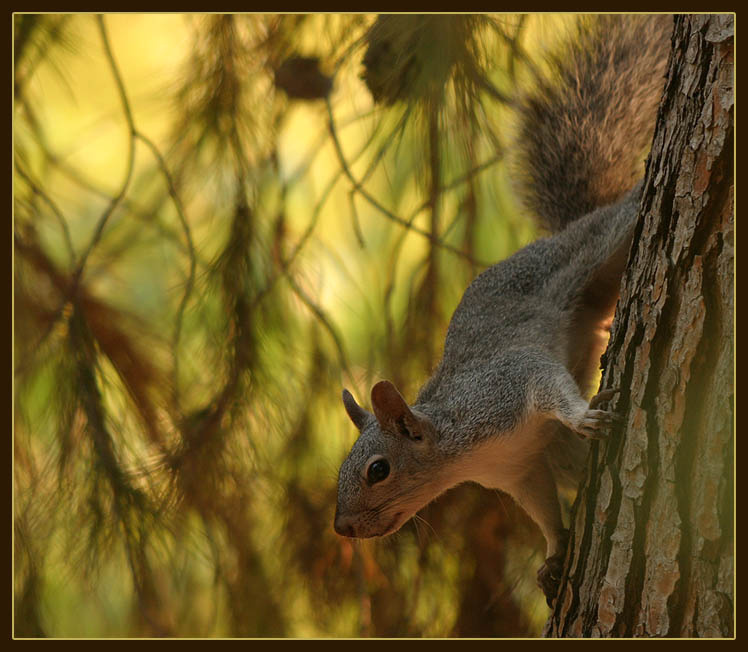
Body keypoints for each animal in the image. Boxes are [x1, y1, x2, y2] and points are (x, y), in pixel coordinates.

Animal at [334, 14, 672, 606]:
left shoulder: (503, 387)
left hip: (591, 249)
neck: (459, 451)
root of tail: (561, 231)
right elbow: (543, 509)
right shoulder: (521, 468)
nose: (342, 527)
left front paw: (585, 415)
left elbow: (544, 379)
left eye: (378, 470)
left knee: (618, 222)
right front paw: (555, 555)